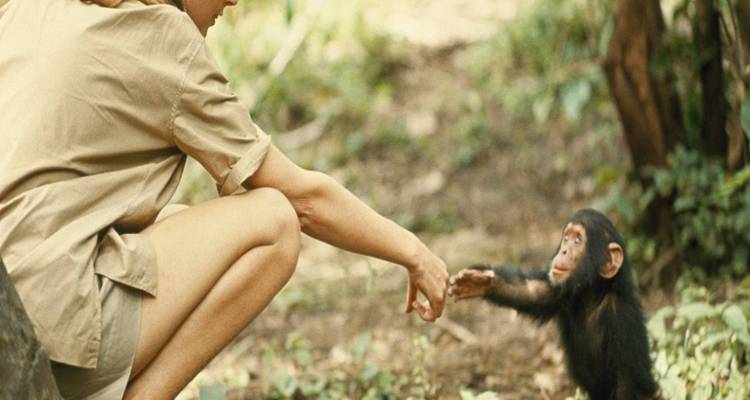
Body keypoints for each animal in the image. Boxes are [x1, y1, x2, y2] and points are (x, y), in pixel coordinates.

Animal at [449, 209, 658, 400]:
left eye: (578, 240)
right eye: (567, 238)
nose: (563, 251)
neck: (592, 297)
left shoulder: (622, 319)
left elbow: (627, 383)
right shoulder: (560, 293)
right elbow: (532, 292)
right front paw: (479, 281)